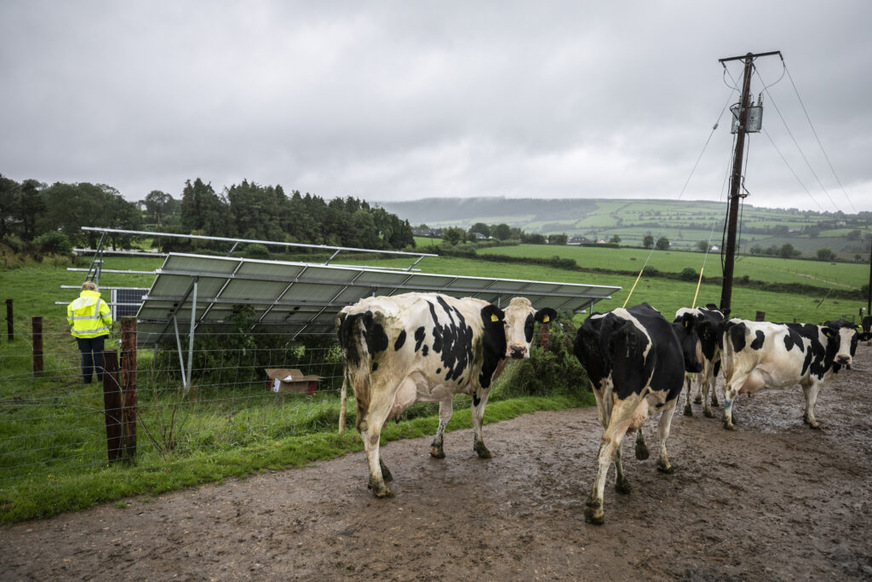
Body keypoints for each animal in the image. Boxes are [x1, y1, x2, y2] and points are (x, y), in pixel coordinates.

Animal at [338, 294, 556, 500]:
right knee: (372, 428)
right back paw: (379, 485)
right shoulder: (484, 382)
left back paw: (381, 472)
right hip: (387, 385)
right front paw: (481, 448)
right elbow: (478, 417)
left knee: (361, 426)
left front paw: (437, 449)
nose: (518, 350)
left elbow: (445, 415)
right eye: (505, 322)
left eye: (530, 323)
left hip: (361, 384)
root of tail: (360, 309)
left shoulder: (445, 383)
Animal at [572, 304, 700, 528]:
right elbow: (664, 431)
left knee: (613, 443)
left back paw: (622, 482)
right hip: (628, 398)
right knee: (608, 446)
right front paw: (664, 463)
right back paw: (595, 507)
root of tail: (609, 320)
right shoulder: (672, 399)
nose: (699, 365)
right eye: (694, 337)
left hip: (602, 395)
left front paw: (641, 447)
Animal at [720, 318, 868, 432]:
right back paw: (729, 423)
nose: (843, 358)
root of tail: (737, 322)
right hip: (744, 369)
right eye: (836, 339)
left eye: (855, 341)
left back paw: (731, 417)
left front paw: (806, 418)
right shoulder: (817, 377)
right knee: (731, 390)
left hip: (729, 367)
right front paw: (813, 422)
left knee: (727, 389)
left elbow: (808, 399)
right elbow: (813, 401)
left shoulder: (807, 380)